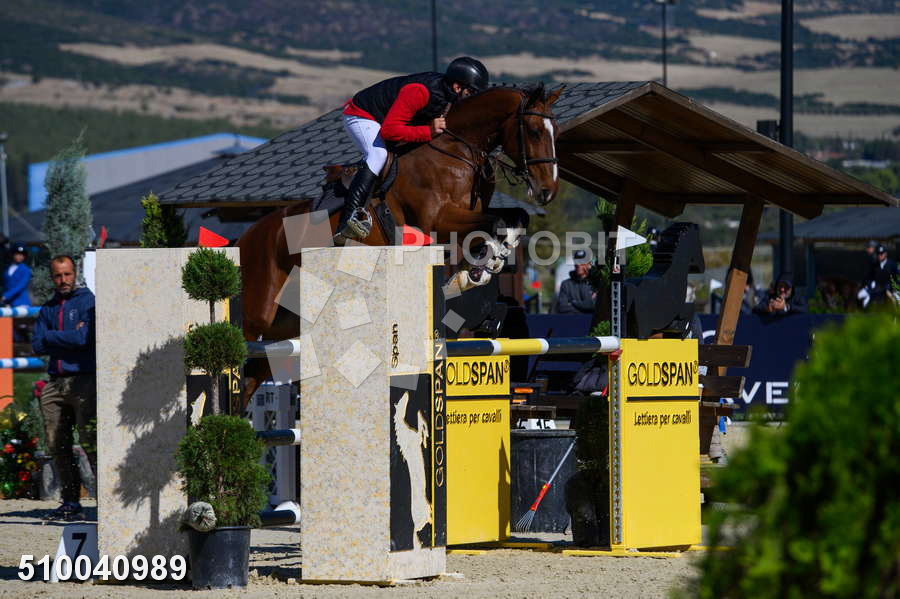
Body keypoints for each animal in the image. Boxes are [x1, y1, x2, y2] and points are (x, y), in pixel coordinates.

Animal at [237, 84, 563, 409]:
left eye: (555, 131)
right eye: (534, 131)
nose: (547, 191)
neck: (458, 151)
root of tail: (246, 237)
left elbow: (512, 219)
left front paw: (477, 270)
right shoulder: (437, 220)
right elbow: (496, 223)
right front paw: (483, 267)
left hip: (286, 323)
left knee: (254, 372)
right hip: (257, 313)